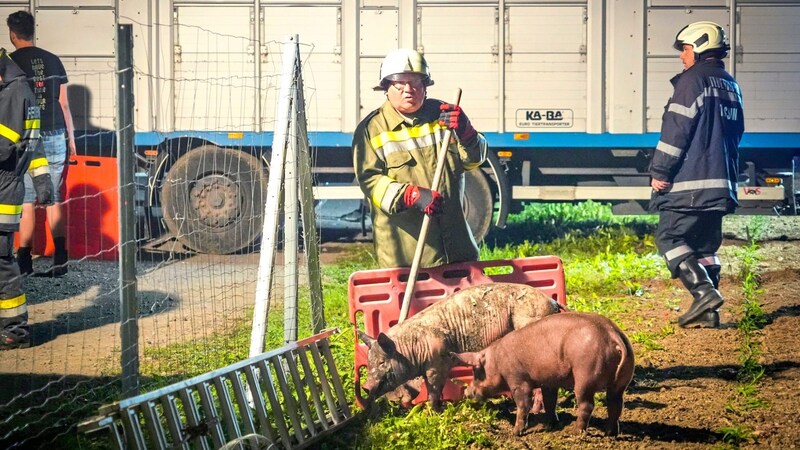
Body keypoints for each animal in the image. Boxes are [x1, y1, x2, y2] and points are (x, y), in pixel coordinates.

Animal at [454, 312, 636, 434]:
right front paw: (550, 425)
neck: (497, 361)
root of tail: (611, 334)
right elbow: (550, 402)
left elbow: (523, 404)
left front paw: (516, 433)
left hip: (585, 376)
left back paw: (577, 432)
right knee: (616, 404)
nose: (466, 392)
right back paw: (610, 433)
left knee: (587, 405)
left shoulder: (518, 380)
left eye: (477, 371)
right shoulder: (549, 382)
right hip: (621, 381)